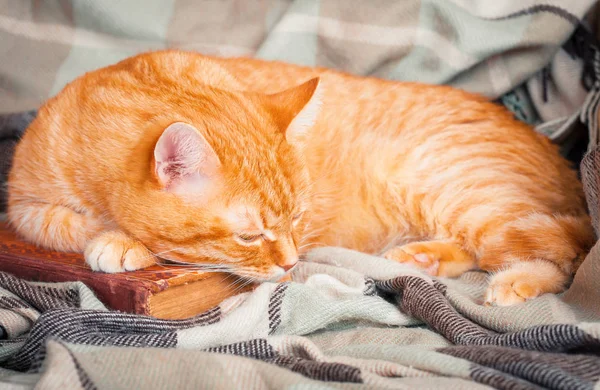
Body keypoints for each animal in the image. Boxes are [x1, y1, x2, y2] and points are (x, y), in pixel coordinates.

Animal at [5, 49, 596, 304]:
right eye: (250, 236)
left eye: (299, 219)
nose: (291, 264)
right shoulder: (22, 205)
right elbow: (62, 223)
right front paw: (114, 237)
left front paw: (120, 241)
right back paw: (423, 258)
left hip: (464, 194)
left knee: (564, 253)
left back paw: (516, 282)